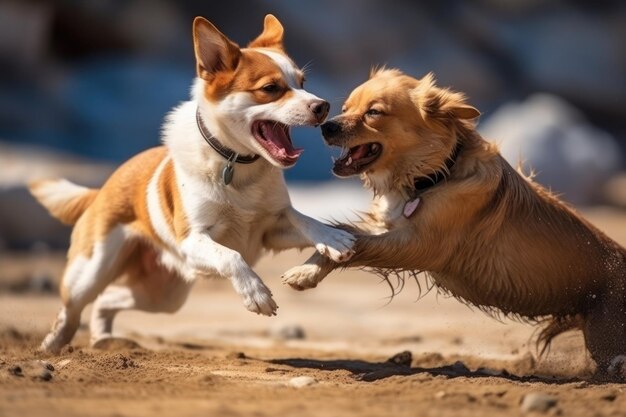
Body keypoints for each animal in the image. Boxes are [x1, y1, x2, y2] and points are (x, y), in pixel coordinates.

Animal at [29, 15, 354, 352]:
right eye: (271, 88)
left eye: (302, 82)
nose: (323, 106)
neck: (236, 166)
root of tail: (105, 186)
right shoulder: (192, 240)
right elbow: (232, 257)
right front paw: (256, 294)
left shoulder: (271, 228)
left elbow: (303, 219)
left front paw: (332, 238)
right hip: (91, 273)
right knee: (71, 310)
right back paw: (51, 345)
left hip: (163, 294)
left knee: (108, 299)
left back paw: (103, 338)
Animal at [282, 69, 624, 380]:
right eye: (346, 107)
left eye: (374, 112)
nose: (326, 126)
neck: (431, 176)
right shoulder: (390, 228)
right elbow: (344, 233)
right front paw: (311, 264)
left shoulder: (420, 246)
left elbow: (357, 242)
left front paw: (303, 273)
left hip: (607, 339)